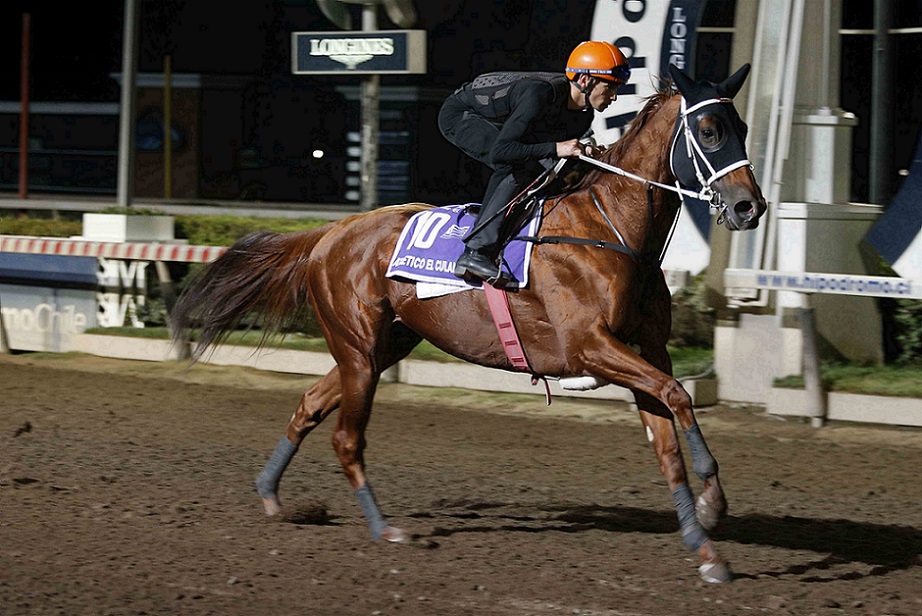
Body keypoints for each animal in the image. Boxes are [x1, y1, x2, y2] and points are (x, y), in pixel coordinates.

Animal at [171, 64, 766, 584]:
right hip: (359, 348)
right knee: (346, 438)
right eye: (709, 131)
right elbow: (679, 396)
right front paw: (712, 501)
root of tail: (329, 234)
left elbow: (667, 437)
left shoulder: (645, 350)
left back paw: (272, 493)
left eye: (742, 128)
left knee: (310, 405)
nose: (749, 208)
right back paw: (384, 529)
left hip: (383, 347)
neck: (610, 229)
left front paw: (706, 550)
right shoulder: (590, 346)